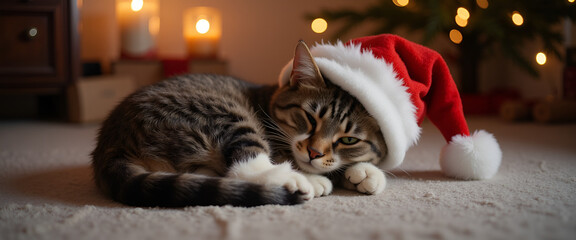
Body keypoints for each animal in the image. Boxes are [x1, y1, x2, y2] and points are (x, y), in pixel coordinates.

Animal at [91, 40, 388, 207]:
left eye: (348, 139)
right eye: (309, 118)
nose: (314, 153)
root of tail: (111, 143)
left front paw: (364, 171)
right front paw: (324, 175)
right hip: (225, 114)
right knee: (243, 167)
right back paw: (296, 179)